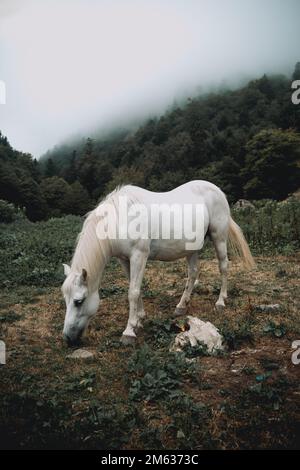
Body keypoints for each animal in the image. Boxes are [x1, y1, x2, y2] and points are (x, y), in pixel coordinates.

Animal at [62, 180, 254, 346]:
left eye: (78, 301)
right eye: (66, 300)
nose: (68, 337)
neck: (121, 218)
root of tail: (217, 190)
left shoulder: (139, 256)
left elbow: (133, 292)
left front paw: (129, 332)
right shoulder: (124, 260)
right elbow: (135, 289)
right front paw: (139, 319)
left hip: (219, 238)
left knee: (223, 267)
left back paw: (220, 302)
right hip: (192, 249)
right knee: (193, 273)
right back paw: (181, 306)